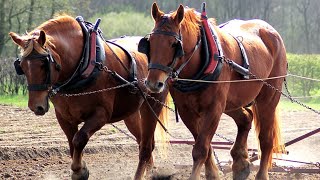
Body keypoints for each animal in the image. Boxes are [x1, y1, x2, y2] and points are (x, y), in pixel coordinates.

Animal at [8, 15, 169, 180]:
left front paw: (79, 171)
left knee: (146, 146)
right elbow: (71, 144)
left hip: (152, 106)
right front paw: (79, 168)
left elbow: (79, 139)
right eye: (21, 66)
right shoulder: (64, 116)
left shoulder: (101, 114)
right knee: (143, 141)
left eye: (43, 64)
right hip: (131, 114)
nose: (36, 106)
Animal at [140, 2, 288, 180]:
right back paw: (240, 163)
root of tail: (272, 32)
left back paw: (261, 174)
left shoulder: (214, 109)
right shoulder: (187, 111)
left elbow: (200, 149)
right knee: (246, 118)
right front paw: (213, 174)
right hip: (232, 102)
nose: (153, 83)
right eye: (150, 42)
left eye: (174, 44)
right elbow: (205, 146)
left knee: (266, 139)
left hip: (268, 99)